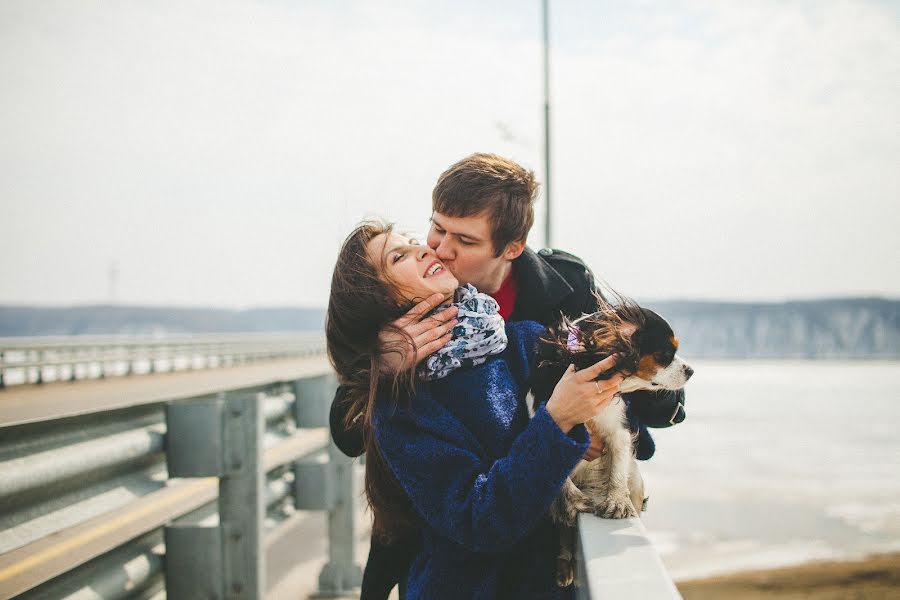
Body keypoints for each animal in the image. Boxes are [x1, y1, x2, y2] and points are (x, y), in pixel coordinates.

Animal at [528, 298, 696, 588]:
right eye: (665, 353)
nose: (691, 370)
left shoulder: (618, 428)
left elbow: (617, 465)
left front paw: (616, 501)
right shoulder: (551, 419)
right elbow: (559, 469)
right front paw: (573, 500)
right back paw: (564, 563)